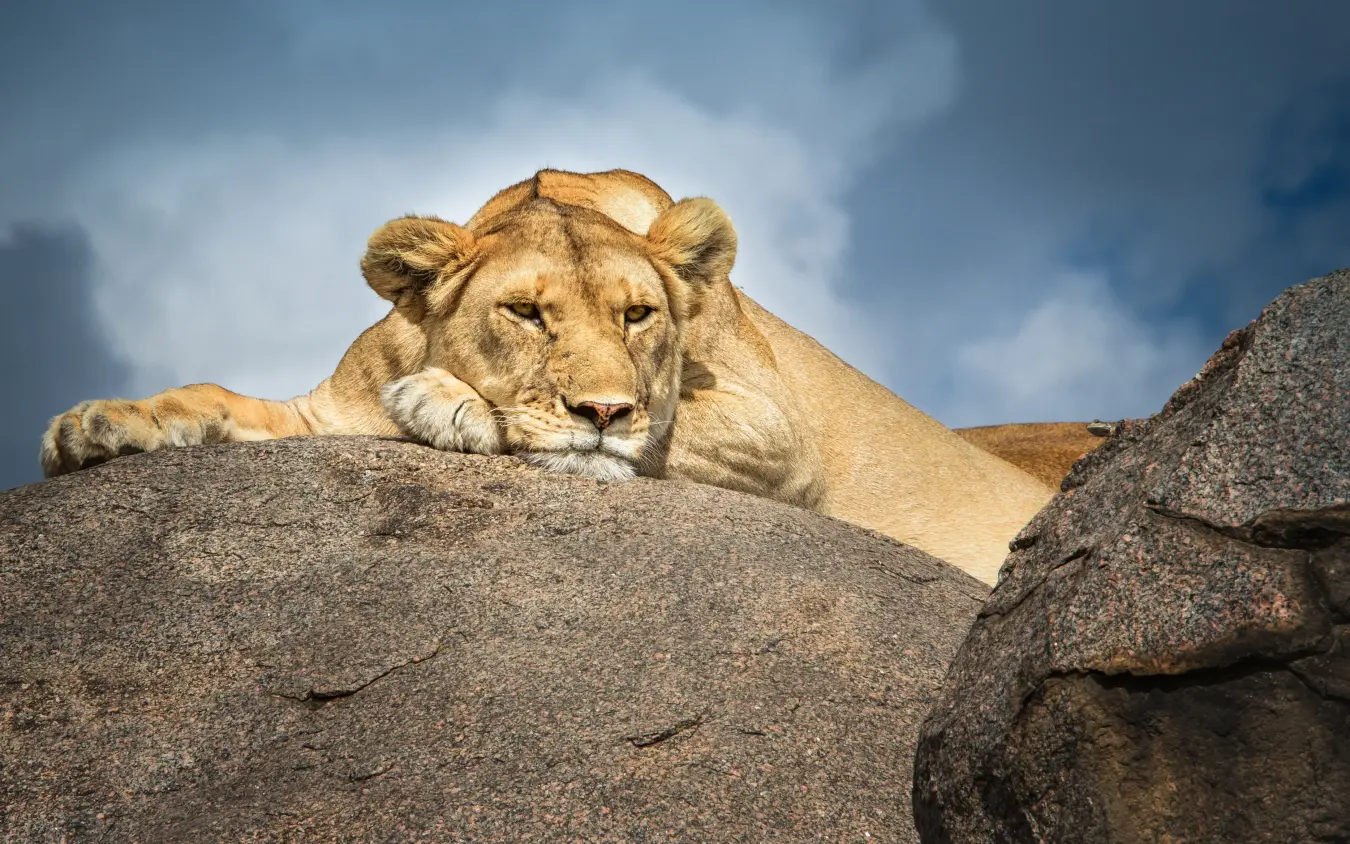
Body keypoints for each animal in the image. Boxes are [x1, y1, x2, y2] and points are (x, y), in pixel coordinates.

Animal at [40, 168, 1060, 584]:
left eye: (638, 315)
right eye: (528, 313)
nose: (601, 407)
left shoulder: (782, 437)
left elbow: (651, 430)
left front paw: (444, 402)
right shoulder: (320, 413)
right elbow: (209, 399)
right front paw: (98, 426)